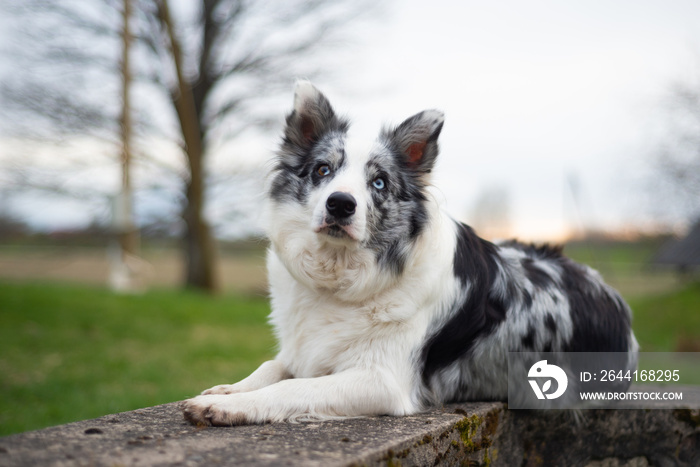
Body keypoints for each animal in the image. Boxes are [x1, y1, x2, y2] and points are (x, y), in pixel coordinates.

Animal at [182, 82, 640, 426]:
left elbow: (292, 387)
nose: (340, 204)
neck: (344, 275)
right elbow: (273, 367)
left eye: (379, 182)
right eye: (323, 170)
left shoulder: (383, 380)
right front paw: (230, 389)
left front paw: (227, 405)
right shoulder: (305, 348)